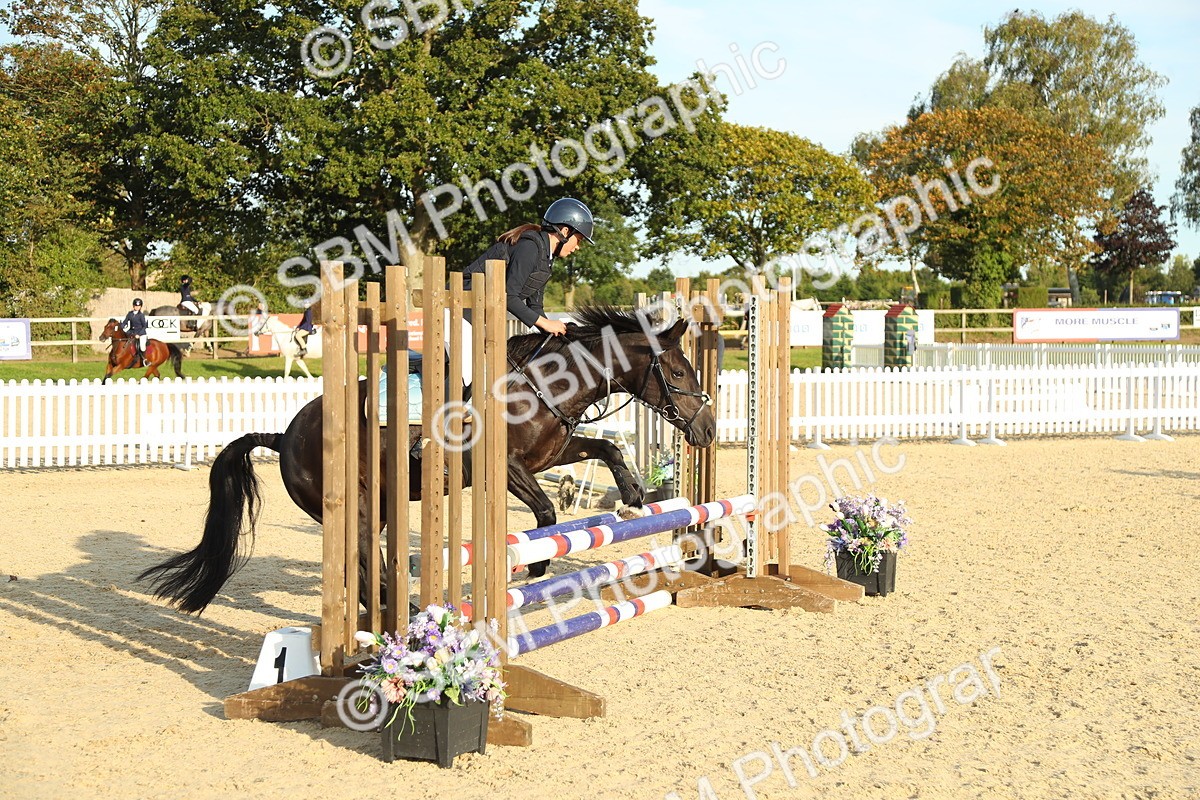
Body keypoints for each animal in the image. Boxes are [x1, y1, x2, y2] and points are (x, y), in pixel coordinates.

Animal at [138, 306, 717, 614]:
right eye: (678, 373)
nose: (708, 430)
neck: (546, 384)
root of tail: (284, 435)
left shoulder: (550, 453)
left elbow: (608, 448)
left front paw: (635, 497)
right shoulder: (506, 468)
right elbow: (548, 515)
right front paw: (534, 566)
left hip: (379, 506)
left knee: (372, 567)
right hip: (352, 506)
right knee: (365, 566)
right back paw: (412, 616)